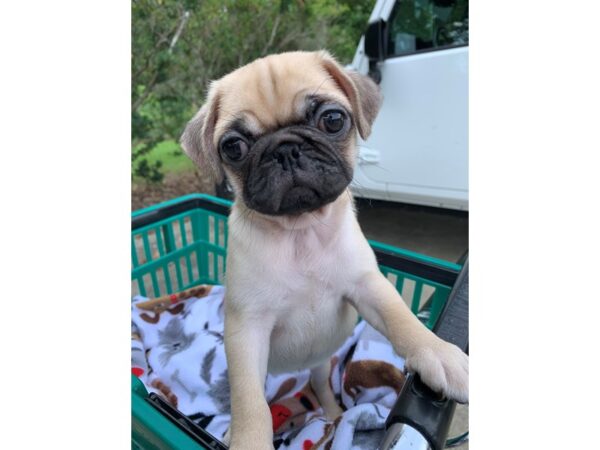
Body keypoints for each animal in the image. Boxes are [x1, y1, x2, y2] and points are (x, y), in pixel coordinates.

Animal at [183, 51, 468, 448]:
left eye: (333, 120)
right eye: (233, 147)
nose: (285, 148)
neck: (301, 232)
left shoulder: (368, 286)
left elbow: (401, 319)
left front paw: (438, 353)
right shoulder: (247, 330)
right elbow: (249, 403)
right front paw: (248, 439)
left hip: (321, 361)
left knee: (320, 385)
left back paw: (333, 414)